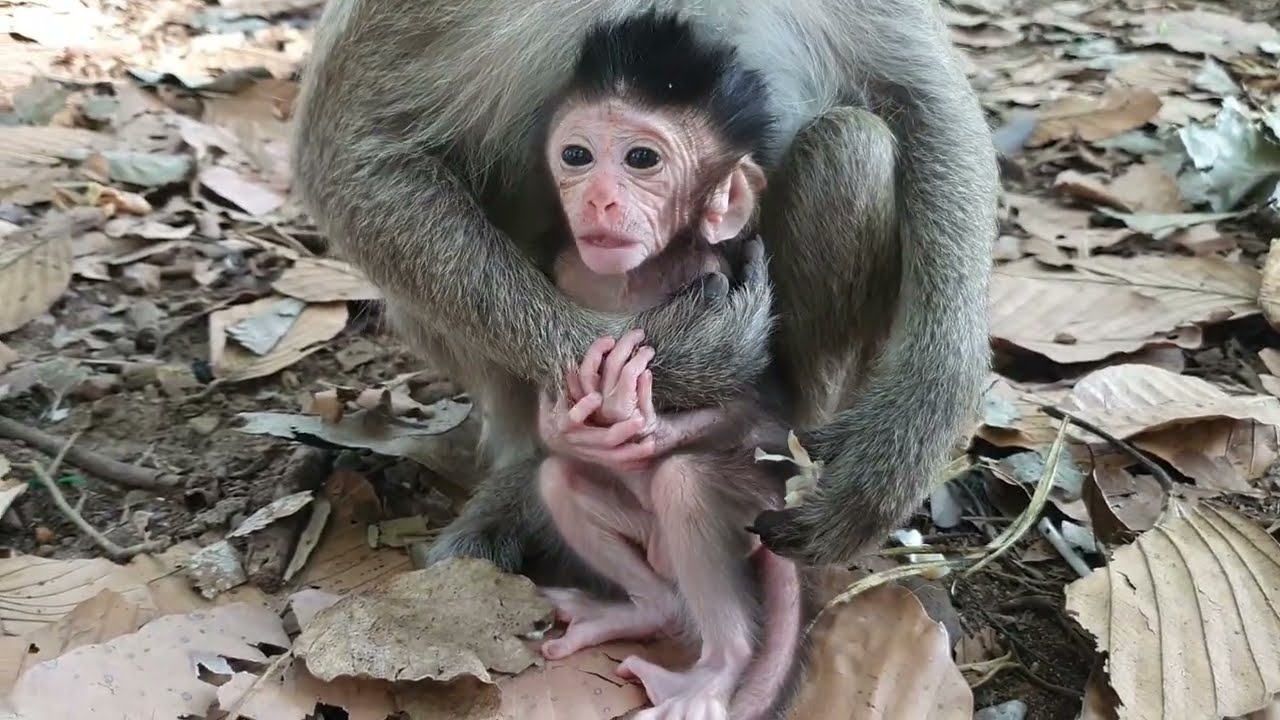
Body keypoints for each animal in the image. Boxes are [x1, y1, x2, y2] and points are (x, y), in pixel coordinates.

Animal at [291, 0, 996, 584]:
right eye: (579, 156)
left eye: (642, 161)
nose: (605, 200)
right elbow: (352, 152)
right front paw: (685, 362)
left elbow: (923, 97)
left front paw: (914, 423)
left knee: (852, 146)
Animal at [528, 14, 805, 719]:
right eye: (577, 156)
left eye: (641, 160)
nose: (597, 200)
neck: (630, 282)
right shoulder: (565, 270)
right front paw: (567, 423)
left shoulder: (710, 275)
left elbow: (749, 402)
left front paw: (642, 419)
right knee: (559, 482)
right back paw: (637, 612)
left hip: (748, 513)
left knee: (684, 486)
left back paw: (715, 673)